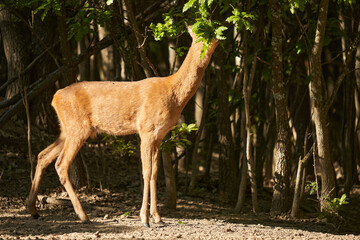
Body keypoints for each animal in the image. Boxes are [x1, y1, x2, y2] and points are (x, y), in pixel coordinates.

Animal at [26, 25, 218, 227]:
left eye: (214, 37)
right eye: (198, 35)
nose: (207, 48)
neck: (172, 92)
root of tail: (55, 97)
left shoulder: (159, 136)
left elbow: (155, 173)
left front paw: (157, 217)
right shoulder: (146, 129)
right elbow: (146, 171)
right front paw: (145, 218)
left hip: (66, 129)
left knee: (43, 155)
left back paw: (33, 209)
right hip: (78, 128)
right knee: (61, 164)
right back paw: (83, 215)